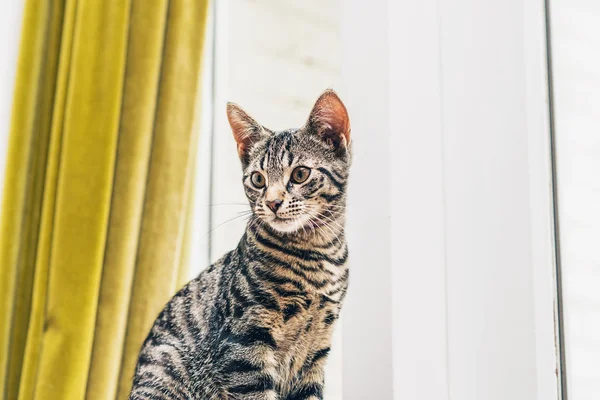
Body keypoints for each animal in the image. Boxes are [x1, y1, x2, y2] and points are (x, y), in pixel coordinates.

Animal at [128, 90, 350, 400]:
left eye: (300, 174)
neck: (317, 254)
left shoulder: (316, 350)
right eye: (258, 179)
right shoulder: (243, 346)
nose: (272, 202)